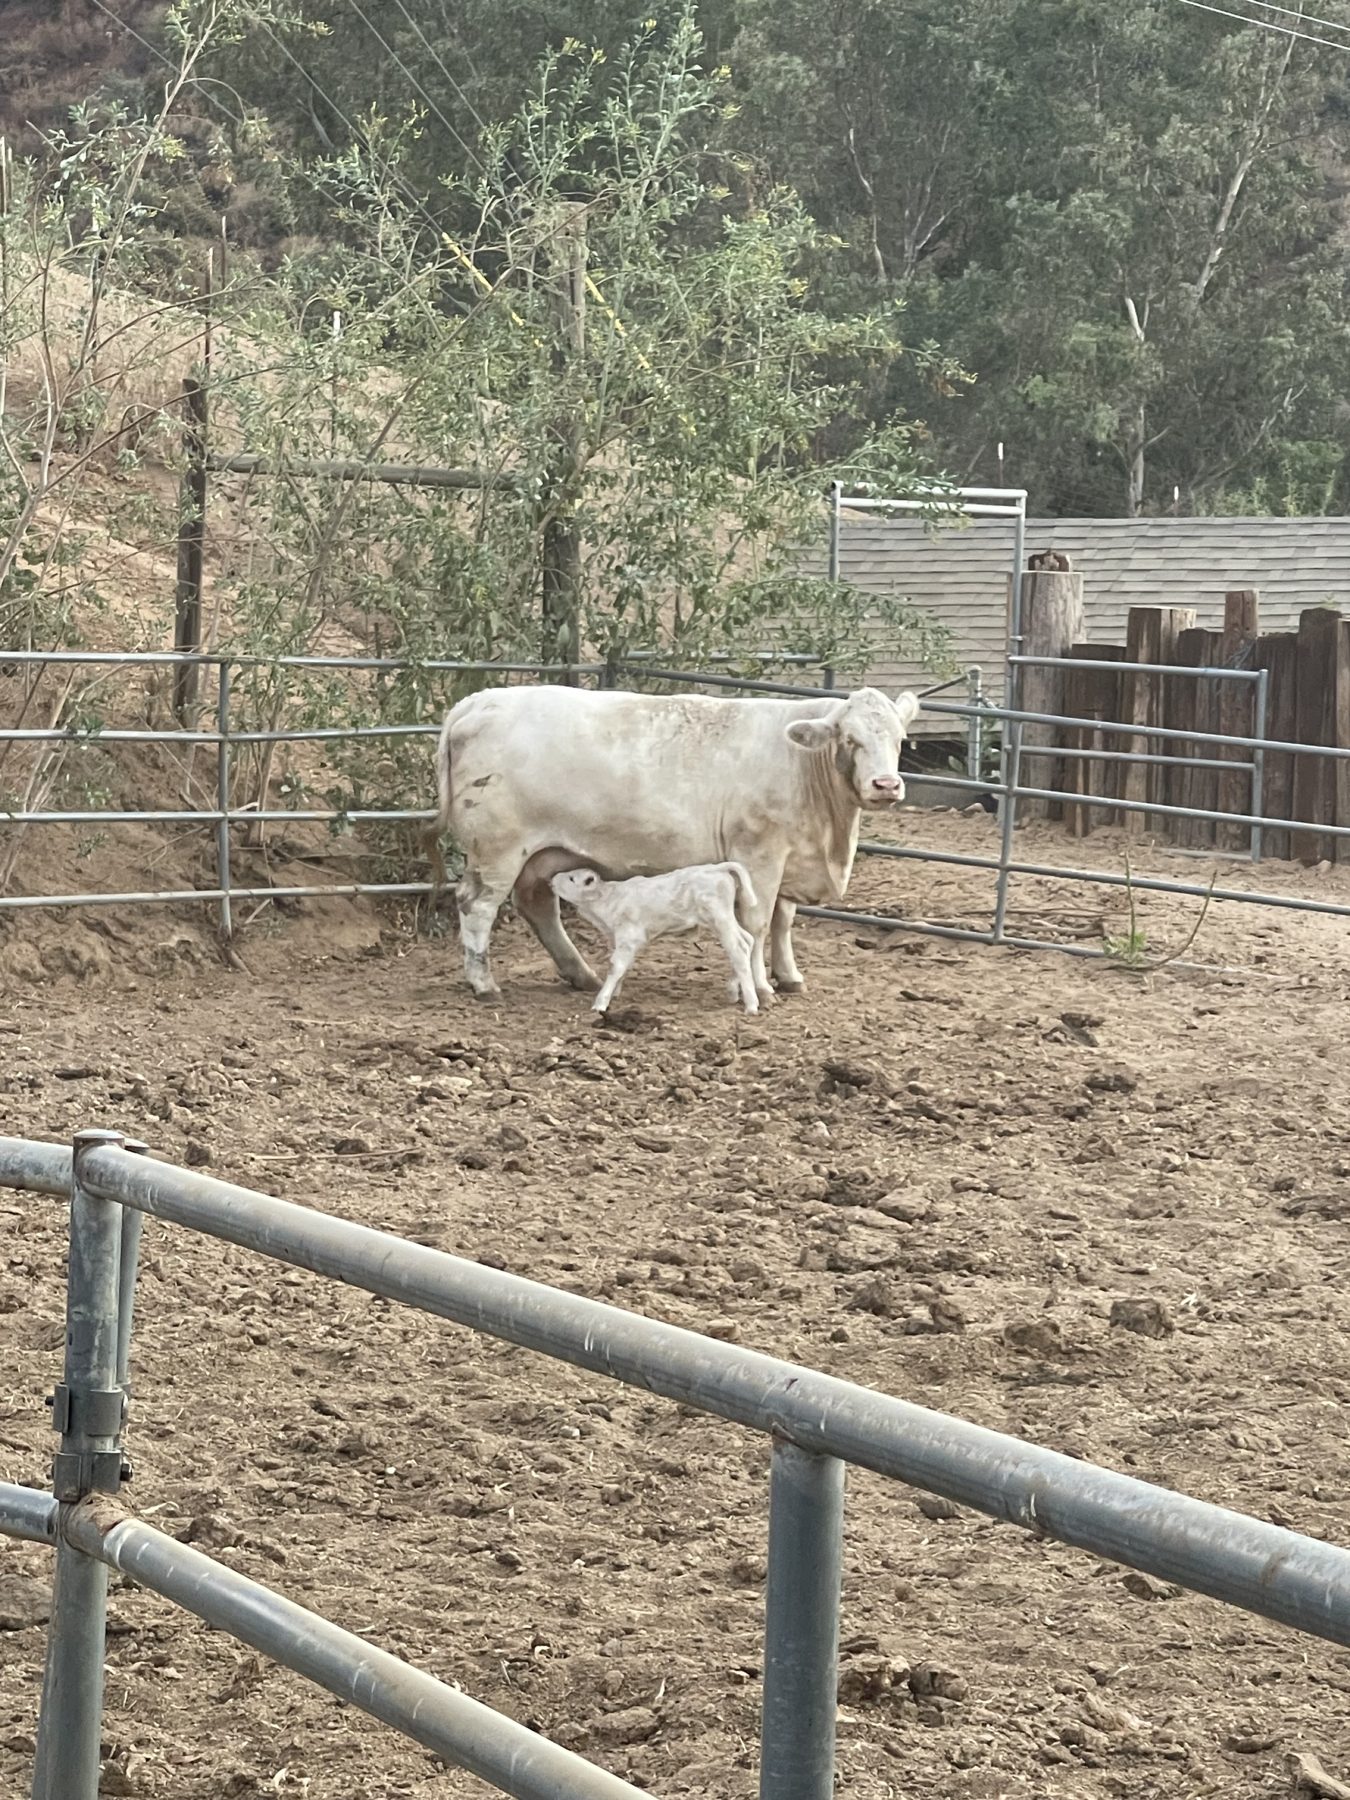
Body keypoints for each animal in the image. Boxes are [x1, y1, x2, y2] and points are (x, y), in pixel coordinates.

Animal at [551, 862, 761, 1014]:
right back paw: (733, 991)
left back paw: (751, 1005)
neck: (608, 899)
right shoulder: (622, 940)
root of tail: (717, 867)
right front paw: (616, 993)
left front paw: (601, 1002)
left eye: (571, 878)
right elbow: (622, 967)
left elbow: (615, 967)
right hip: (725, 921)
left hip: (720, 919)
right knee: (747, 940)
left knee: (738, 949)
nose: (552, 879)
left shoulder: (628, 938)